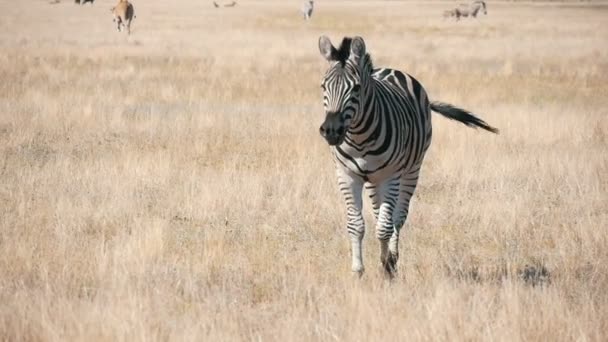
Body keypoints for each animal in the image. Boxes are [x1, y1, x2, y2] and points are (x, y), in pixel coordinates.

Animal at [316, 36, 496, 278]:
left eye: (356, 88)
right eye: (323, 86)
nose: (332, 130)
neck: (360, 138)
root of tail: (391, 70)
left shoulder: (391, 176)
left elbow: (385, 227)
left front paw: (387, 266)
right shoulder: (347, 175)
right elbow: (356, 225)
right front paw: (358, 271)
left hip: (411, 170)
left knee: (397, 218)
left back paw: (393, 257)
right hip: (374, 179)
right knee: (379, 213)